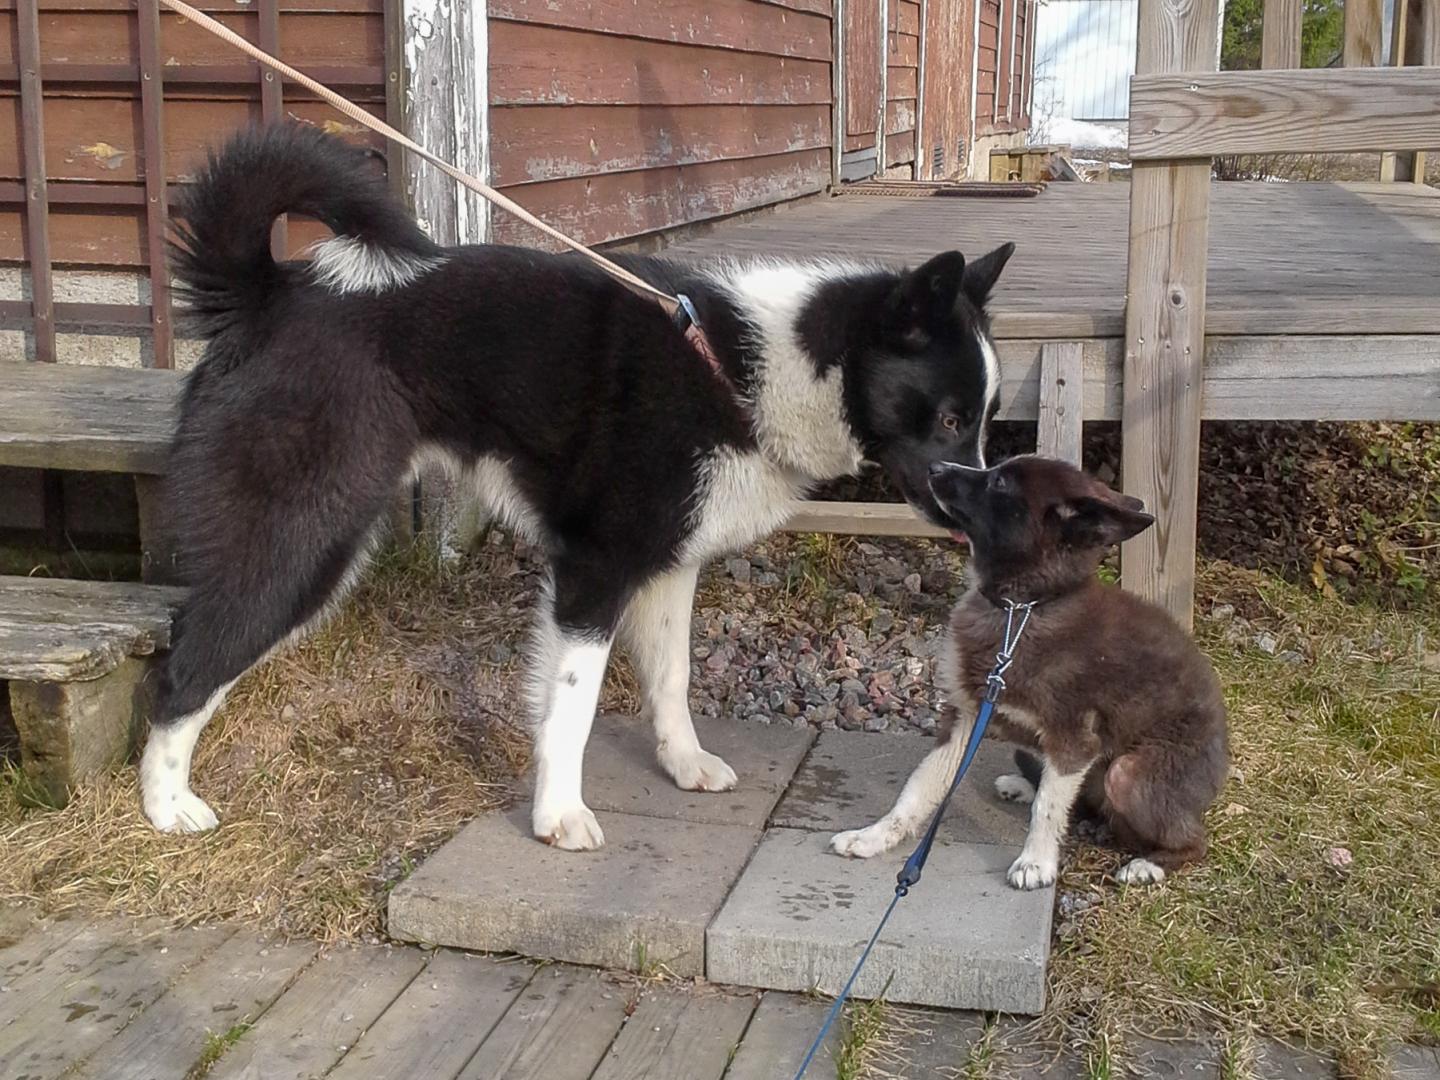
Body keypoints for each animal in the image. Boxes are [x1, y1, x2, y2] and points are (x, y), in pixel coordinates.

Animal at [137, 126, 1013, 852]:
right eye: (949, 416)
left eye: (985, 419)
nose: (977, 516)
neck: (745, 369)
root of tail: (266, 294)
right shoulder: (595, 571)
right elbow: (572, 706)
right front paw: (558, 814)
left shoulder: (668, 566)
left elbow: (672, 677)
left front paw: (683, 762)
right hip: (303, 544)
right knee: (181, 669)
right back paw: (164, 806)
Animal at [835, 455, 1226, 887]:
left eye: (1001, 483)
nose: (935, 466)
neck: (1019, 611)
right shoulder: (965, 718)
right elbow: (918, 786)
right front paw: (872, 837)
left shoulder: (1074, 740)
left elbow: (1048, 808)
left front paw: (1035, 863)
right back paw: (1024, 786)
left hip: (1127, 774)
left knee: (1190, 839)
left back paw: (1147, 864)